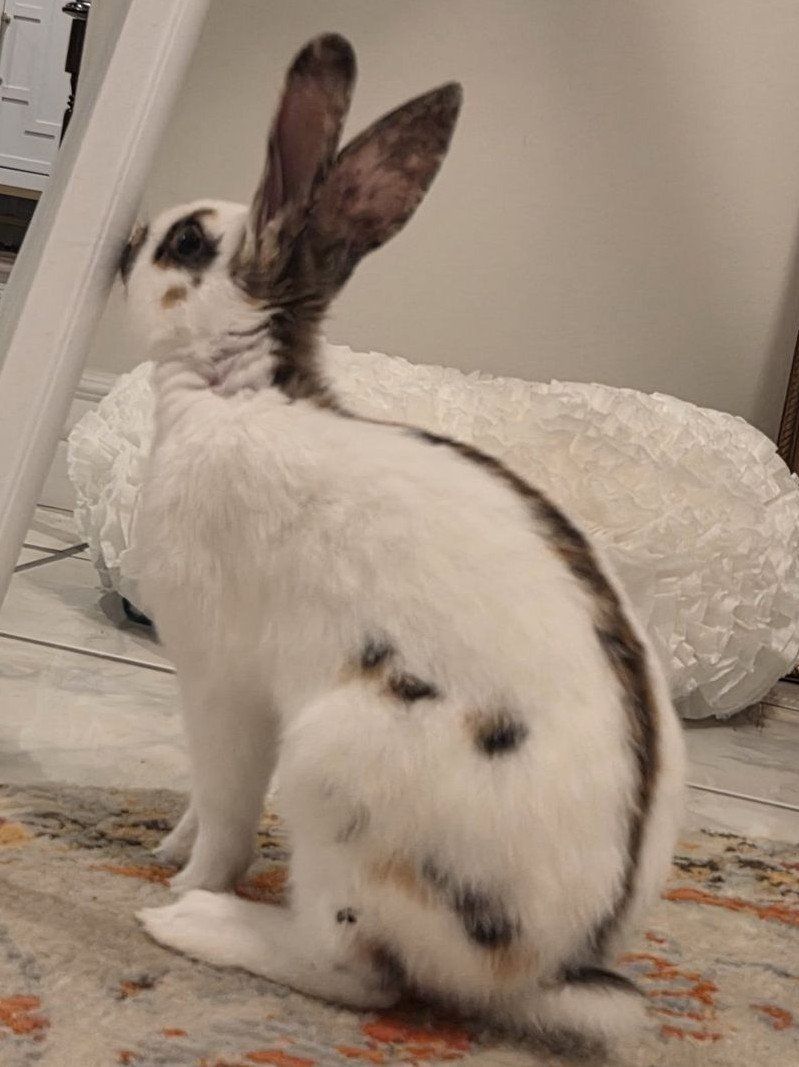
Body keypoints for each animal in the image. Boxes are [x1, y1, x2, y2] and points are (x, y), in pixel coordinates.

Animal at [123, 33, 685, 1047]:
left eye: (185, 241)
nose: (118, 247)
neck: (235, 389)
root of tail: (542, 968)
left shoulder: (224, 683)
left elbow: (226, 805)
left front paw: (183, 876)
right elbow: (199, 803)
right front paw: (164, 839)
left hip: (333, 772)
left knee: (356, 974)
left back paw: (200, 923)